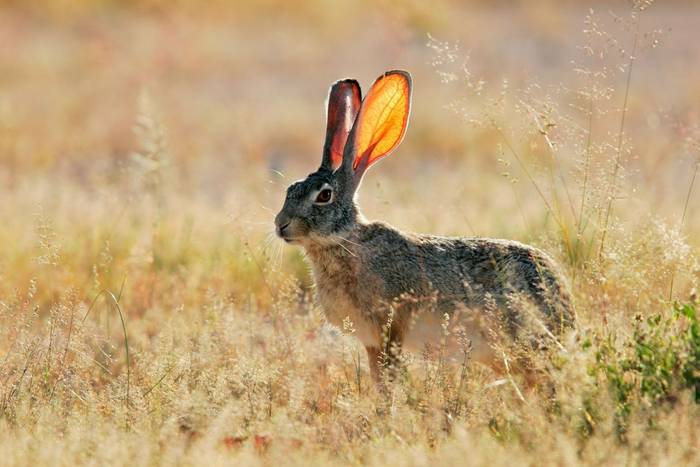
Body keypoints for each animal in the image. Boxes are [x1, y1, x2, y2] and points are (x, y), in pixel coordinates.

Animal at [274, 70, 574, 383]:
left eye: (324, 196)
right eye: (290, 189)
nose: (281, 225)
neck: (345, 241)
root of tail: (567, 307)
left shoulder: (391, 327)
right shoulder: (372, 342)